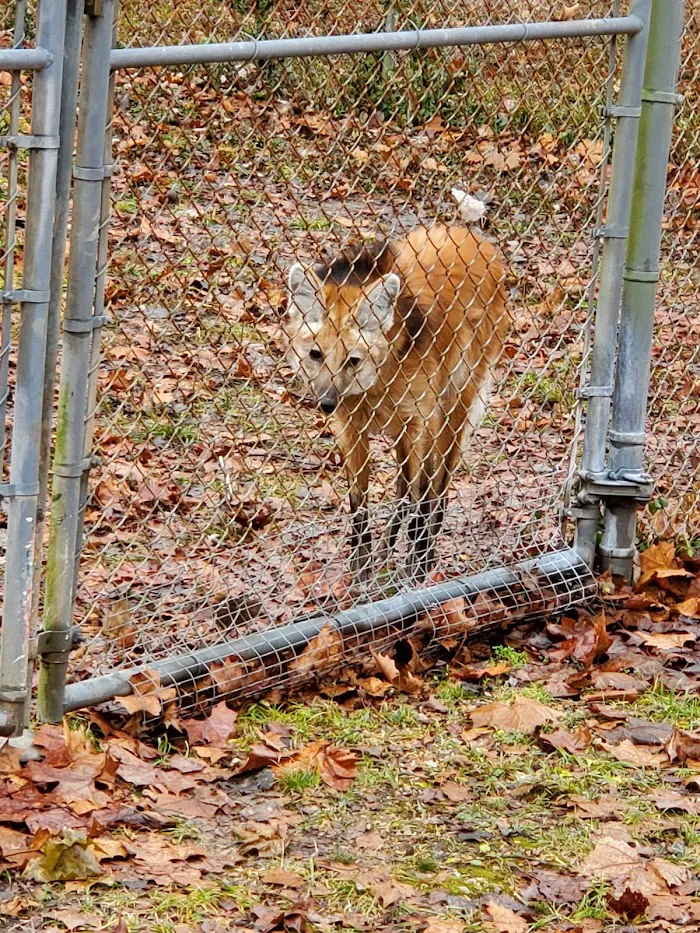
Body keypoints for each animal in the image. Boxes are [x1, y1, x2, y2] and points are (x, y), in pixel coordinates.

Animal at [284, 218, 508, 580]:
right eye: (316, 355)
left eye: (352, 360)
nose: (326, 404)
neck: (379, 381)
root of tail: (471, 236)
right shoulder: (353, 426)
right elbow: (360, 502)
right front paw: (362, 568)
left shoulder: (422, 419)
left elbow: (422, 494)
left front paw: (416, 567)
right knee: (405, 487)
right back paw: (388, 549)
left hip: (454, 402)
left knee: (437, 483)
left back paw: (423, 551)